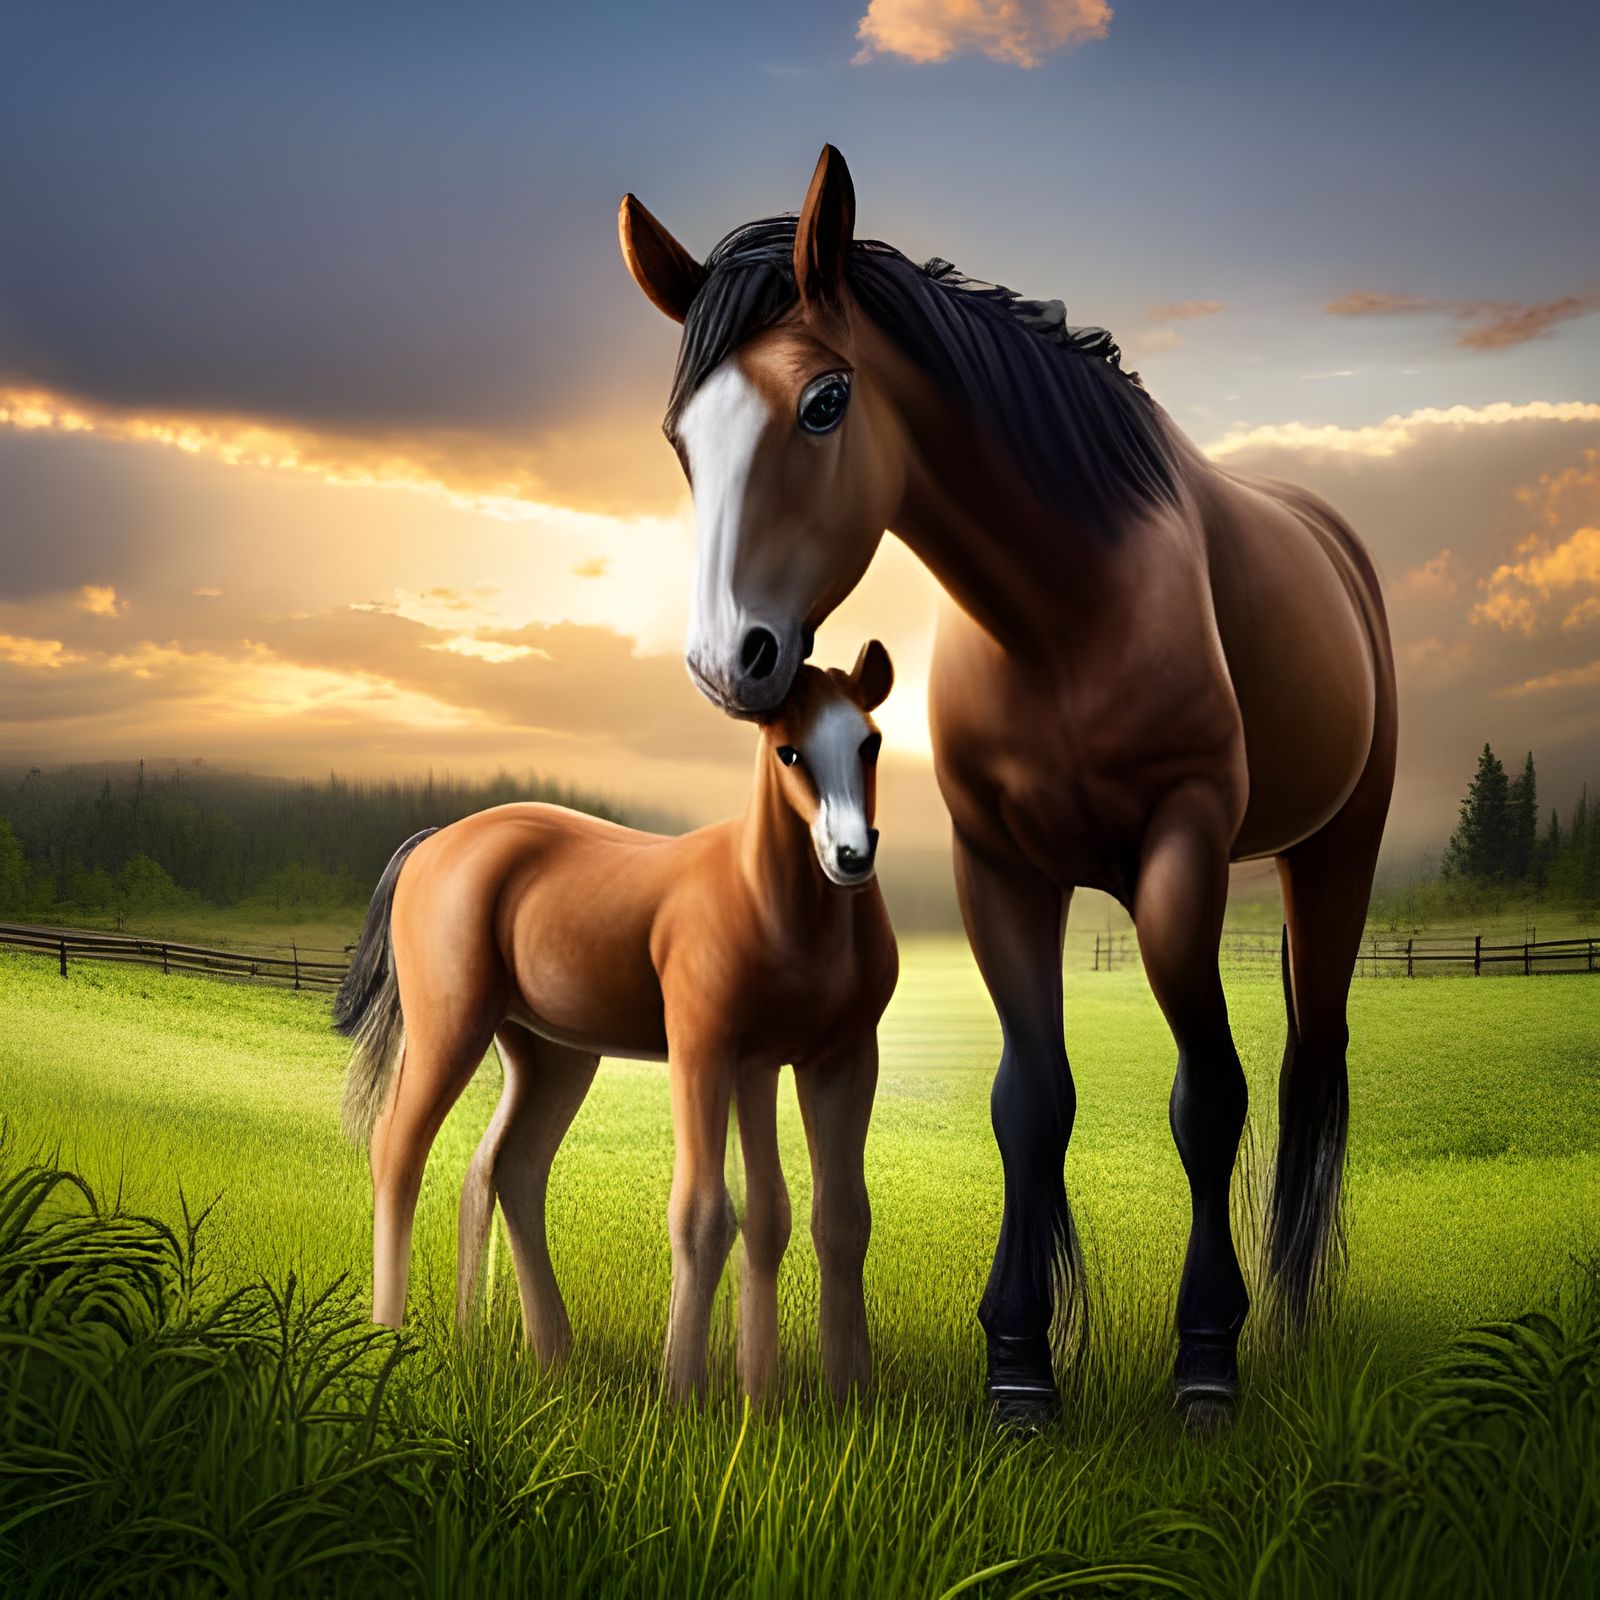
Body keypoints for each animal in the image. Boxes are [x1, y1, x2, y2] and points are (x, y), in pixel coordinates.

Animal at [334, 644, 898, 1405]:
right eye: (789, 751)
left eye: (869, 741)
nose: (850, 857)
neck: (780, 905)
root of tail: (434, 842)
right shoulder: (704, 1052)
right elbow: (703, 1214)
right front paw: (685, 1394)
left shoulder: (828, 1059)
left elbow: (822, 1217)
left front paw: (828, 1398)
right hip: (449, 1029)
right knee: (397, 1152)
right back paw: (387, 1340)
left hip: (553, 1055)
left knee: (515, 1169)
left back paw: (551, 1357)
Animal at [618, 146, 1396, 1427]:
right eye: (682, 436)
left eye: (824, 402)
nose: (730, 660)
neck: (1064, 611)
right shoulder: (998, 867)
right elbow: (1030, 1101)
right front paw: (1021, 1366)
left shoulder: (1181, 853)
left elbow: (1207, 1096)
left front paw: (1205, 1358)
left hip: (1334, 853)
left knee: (1308, 1059)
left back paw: (1290, 1313)